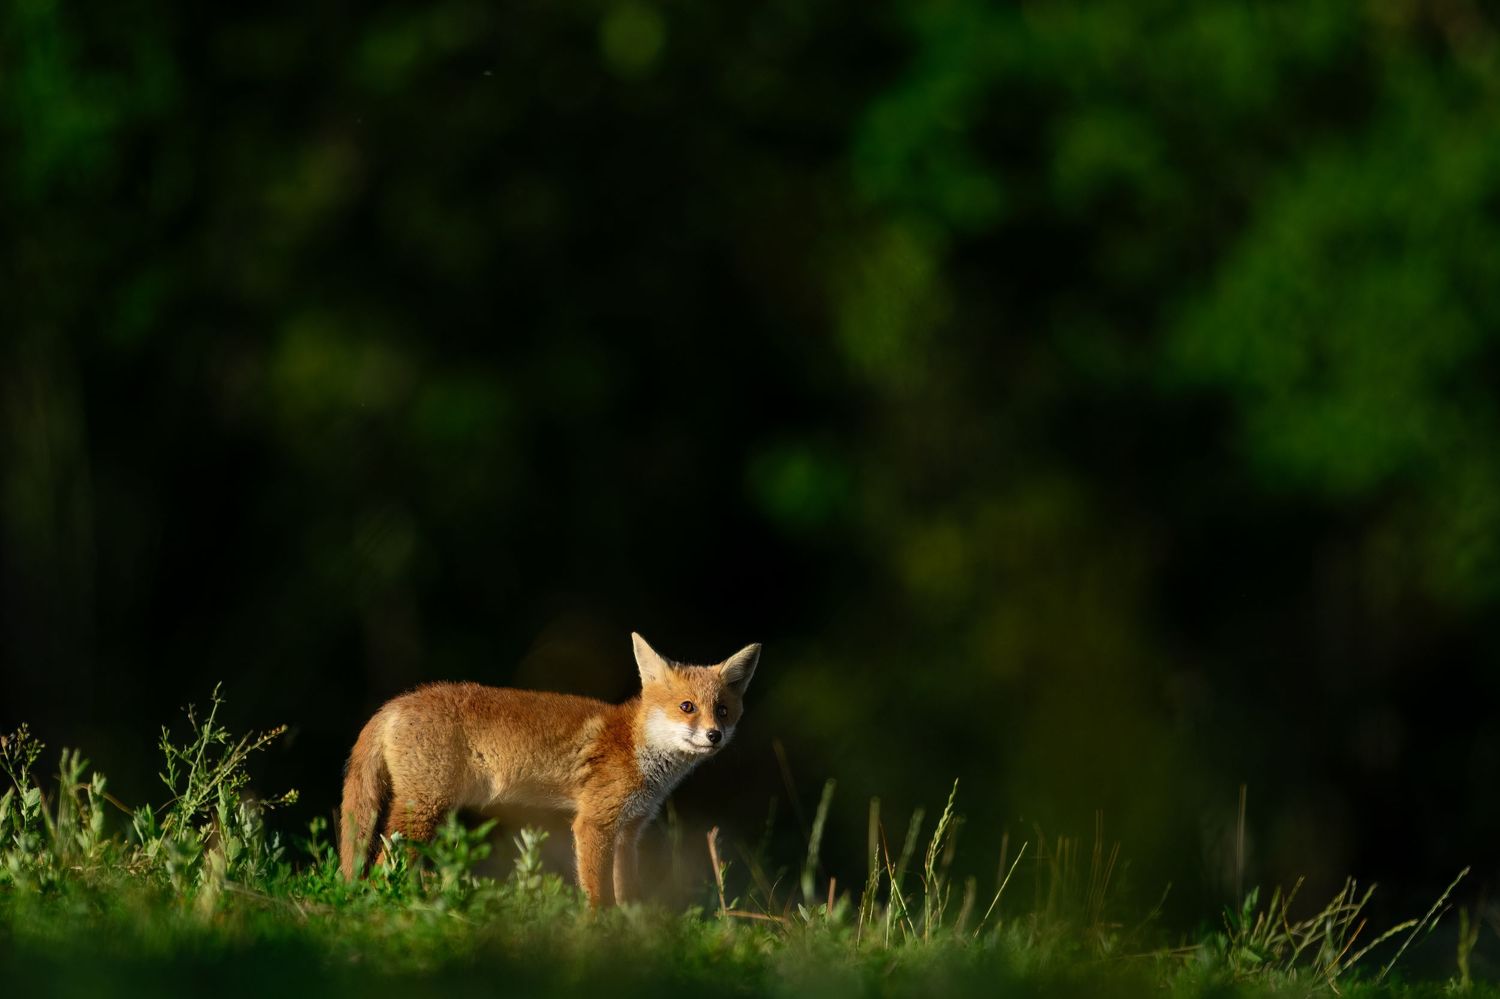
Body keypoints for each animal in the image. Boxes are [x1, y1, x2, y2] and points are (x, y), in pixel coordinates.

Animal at [338, 632, 760, 906]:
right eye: (687, 707)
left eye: (723, 710)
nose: (714, 735)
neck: (636, 747)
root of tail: (395, 702)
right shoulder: (594, 823)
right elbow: (598, 894)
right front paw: (599, 934)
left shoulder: (629, 830)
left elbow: (628, 894)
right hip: (423, 810)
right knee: (381, 864)